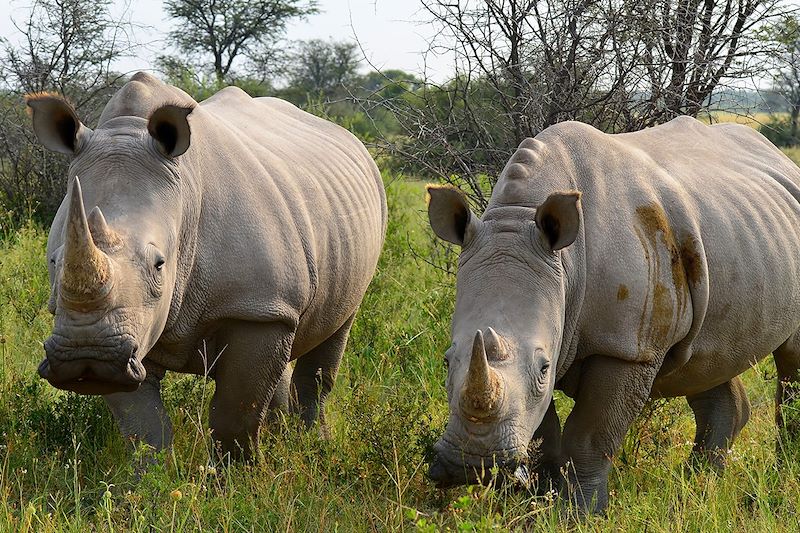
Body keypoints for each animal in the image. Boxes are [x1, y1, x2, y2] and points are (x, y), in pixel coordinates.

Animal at [25, 71, 388, 458]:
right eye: (54, 260)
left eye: (159, 264)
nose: (87, 357)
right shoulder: (132, 334)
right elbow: (143, 427)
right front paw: (154, 473)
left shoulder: (254, 307)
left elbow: (235, 415)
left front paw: (237, 472)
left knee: (334, 334)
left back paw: (312, 446)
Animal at [428, 117, 800, 512]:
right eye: (447, 361)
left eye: (544, 368)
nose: (471, 465)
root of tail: (780, 159)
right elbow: (544, 433)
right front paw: (539, 506)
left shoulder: (627, 348)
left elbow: (589, 436)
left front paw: (579, 514)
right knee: (704, 360)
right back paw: (694, 491)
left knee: (789, 361)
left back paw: (779, 479)